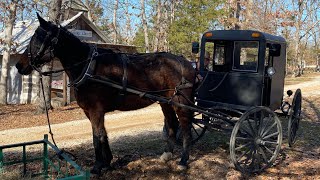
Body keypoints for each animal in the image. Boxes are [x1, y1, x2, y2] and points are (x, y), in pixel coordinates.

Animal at [15, 13, 198, 174]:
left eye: (38, 39)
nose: (19, 65)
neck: (88, 66)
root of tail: (186, 63)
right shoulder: (90, 112)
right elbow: (102, 135)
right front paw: (107, 162)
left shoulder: (96, 110)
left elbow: (97, 137)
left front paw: (97, 166)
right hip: (165, 102)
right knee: (173, 124)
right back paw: (168, 154)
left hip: (181, 104)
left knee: (186, 127)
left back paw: (183, 160)